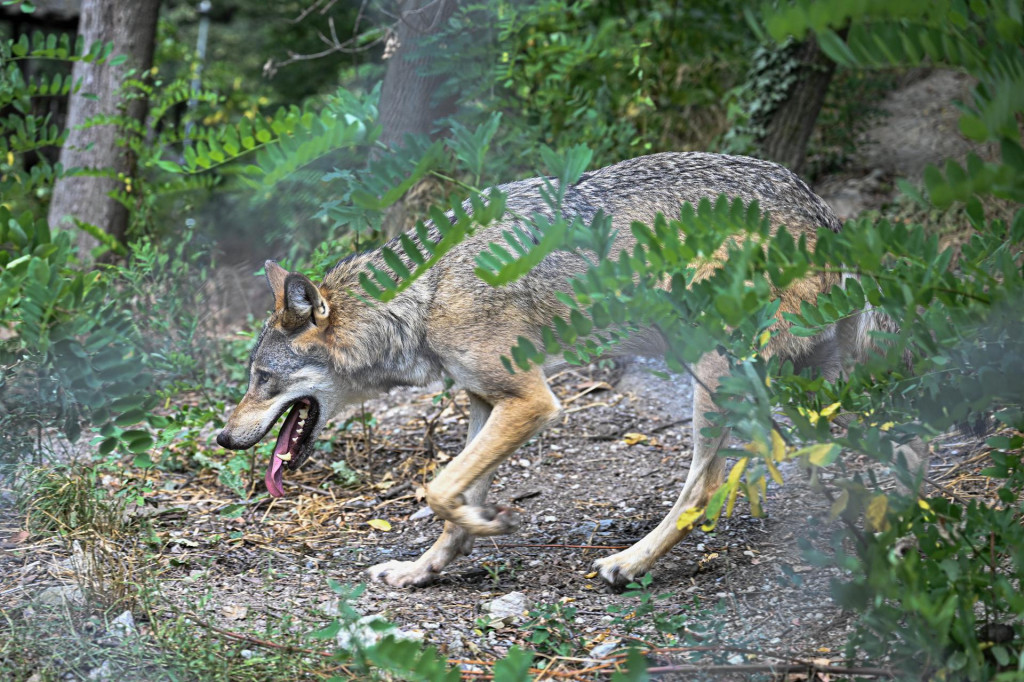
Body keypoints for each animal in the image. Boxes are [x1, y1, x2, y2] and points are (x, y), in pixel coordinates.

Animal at [214, 151, 921, 585]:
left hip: (715, 377)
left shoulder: (532, 402)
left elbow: (438, 489)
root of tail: (829, 216)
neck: (426, 293)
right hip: (781, 389)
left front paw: (490, 524)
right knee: (855, 452)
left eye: (260, 380)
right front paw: (424, 568)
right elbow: (454, 499)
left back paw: (630, 564)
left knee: (707, 486)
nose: (221, 437)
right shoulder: (485, 404)